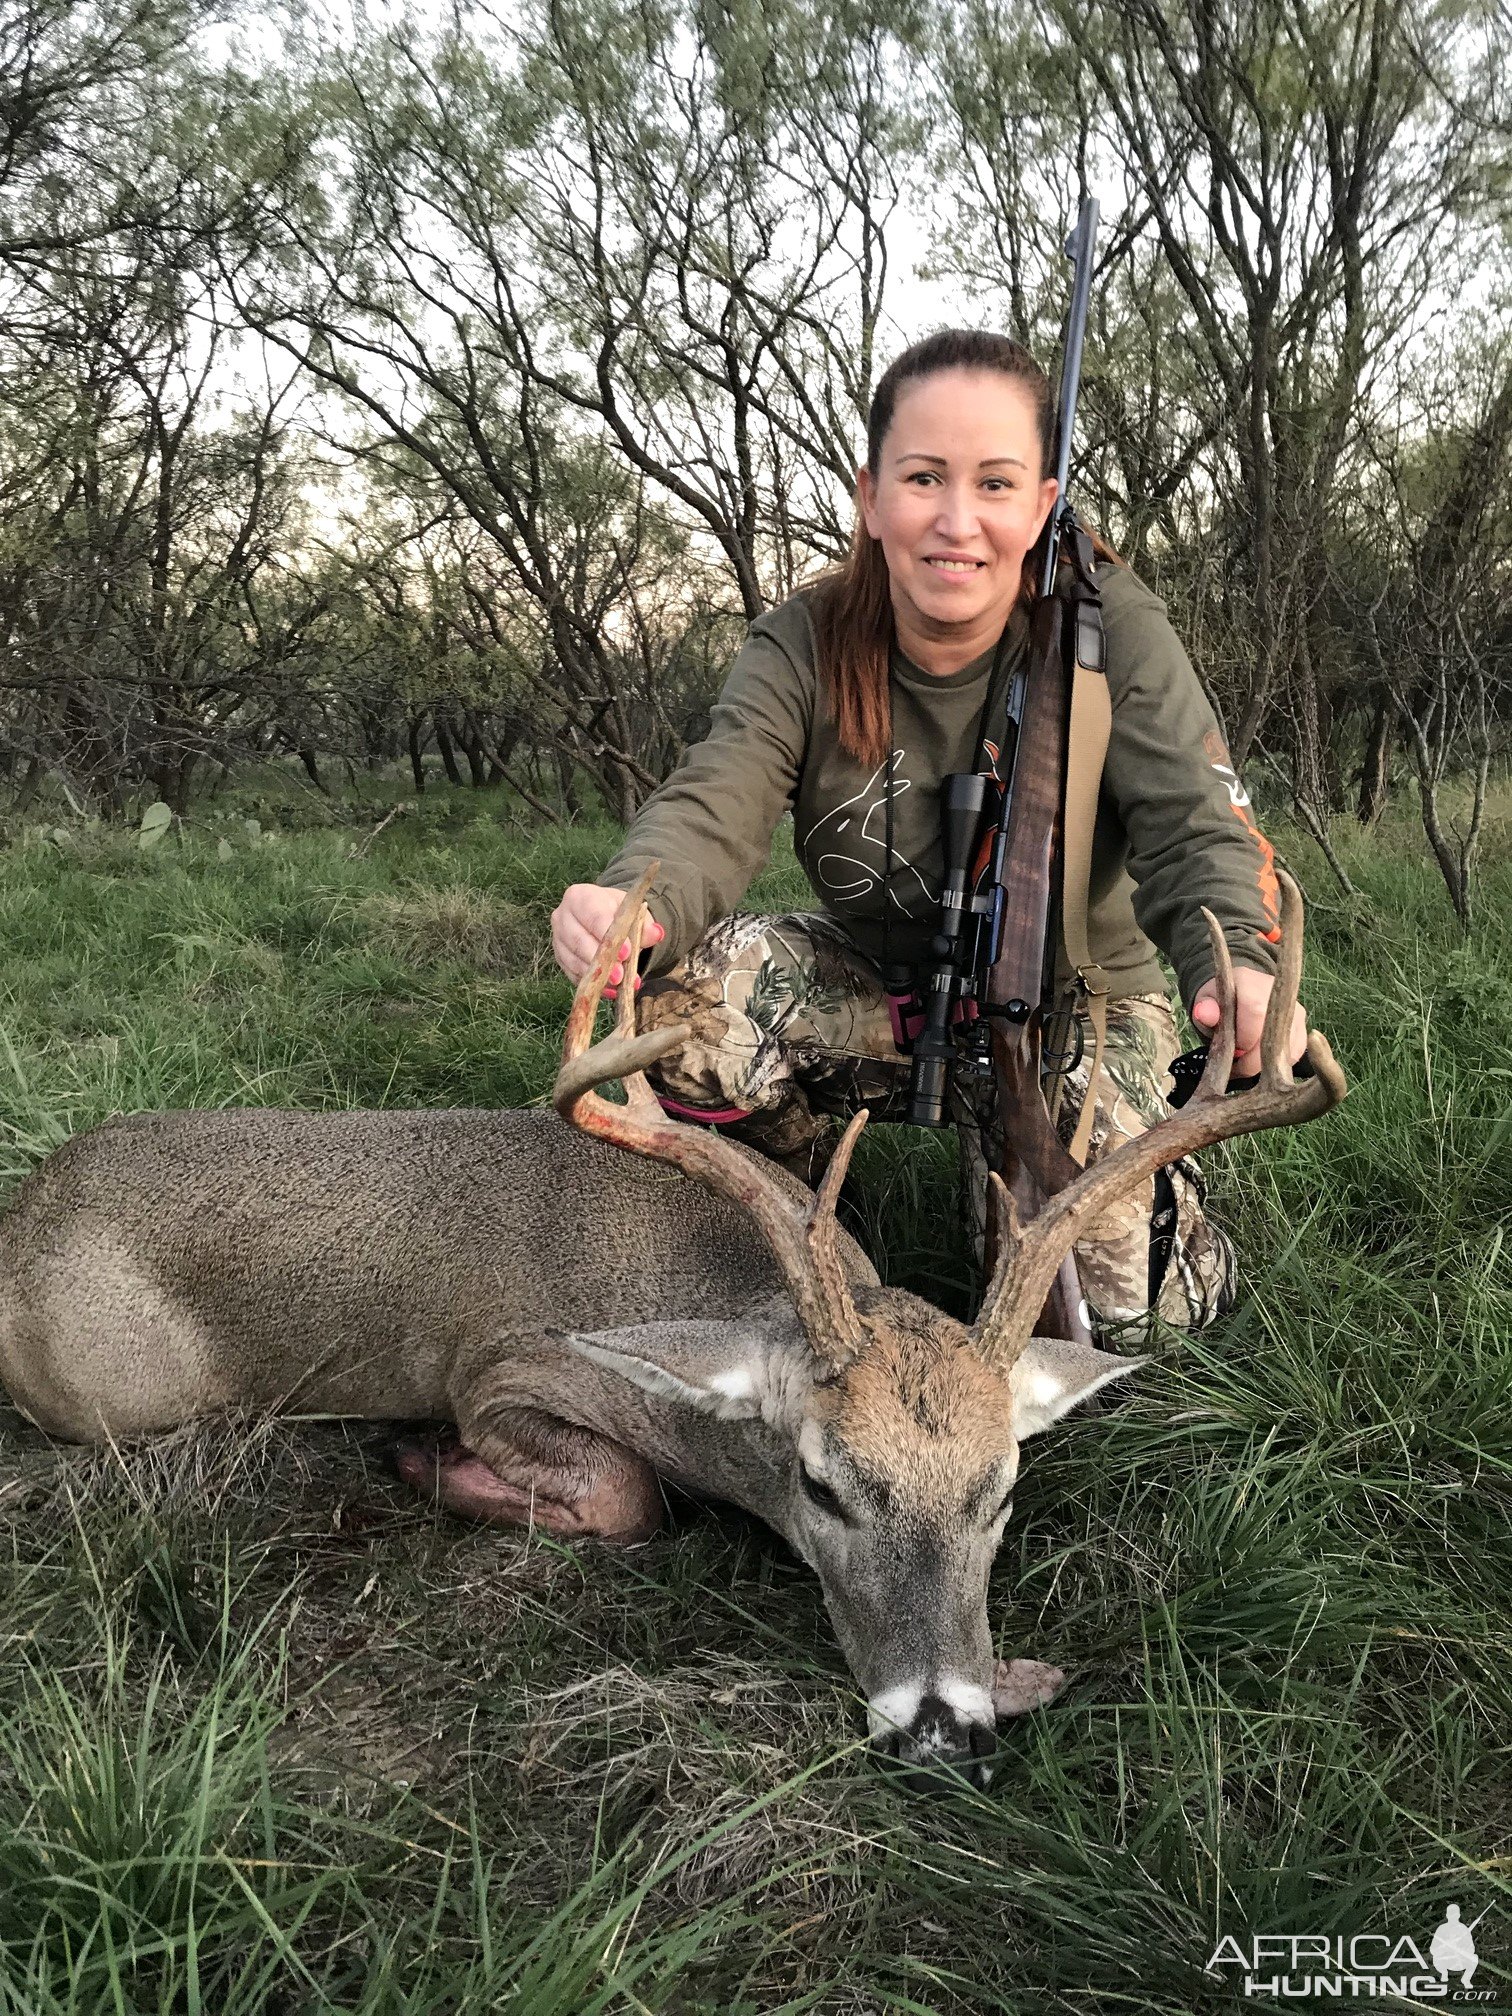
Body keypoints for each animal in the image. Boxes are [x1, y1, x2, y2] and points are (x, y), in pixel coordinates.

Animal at [0, 862, 1346, 1782]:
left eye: (1000, 1489)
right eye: (820, 1484)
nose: (939, 1729)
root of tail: (23, 1220)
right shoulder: (499, 1372)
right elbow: (626, 1496)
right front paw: (422, 1460)